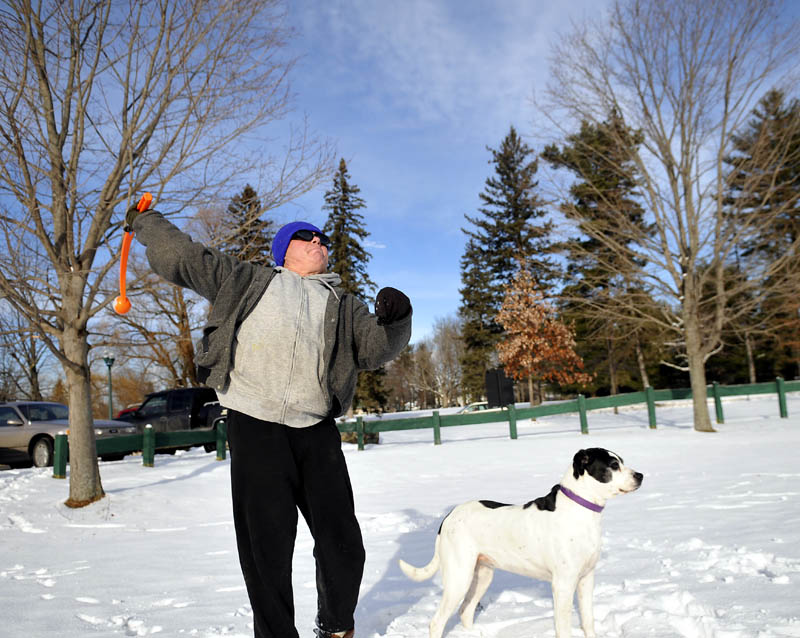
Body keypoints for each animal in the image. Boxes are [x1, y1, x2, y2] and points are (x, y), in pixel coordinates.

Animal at [400, 450, 644, 638]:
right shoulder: (563, 584)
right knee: (437, 622)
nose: (640, 475)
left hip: (482, 576)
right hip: (459, 578)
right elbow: (563, 627)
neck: (580, 509)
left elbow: (588, 620)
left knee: (465, 611)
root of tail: (448, 517)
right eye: (613, 465)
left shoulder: (586, 578)